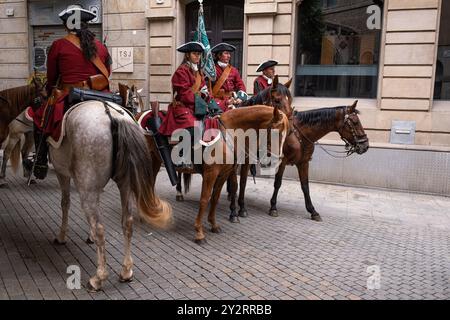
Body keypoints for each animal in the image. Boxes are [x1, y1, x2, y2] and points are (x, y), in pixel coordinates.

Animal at [143, 106, 288, 244]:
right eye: (276, 133)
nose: (277, 160)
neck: (227, 135)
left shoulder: (223, 174)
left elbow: (215, 198)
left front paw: (213, 224)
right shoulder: (210, 173)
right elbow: (204, 199)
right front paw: (199, 232)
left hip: (155, 160)